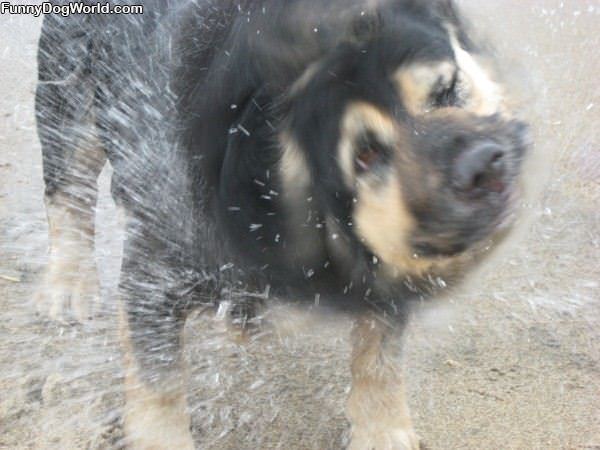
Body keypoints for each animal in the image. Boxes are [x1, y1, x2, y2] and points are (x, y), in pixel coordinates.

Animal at [34, 1, 528, 448]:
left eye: (448, 89)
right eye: (365, 155)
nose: (480, 165)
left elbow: (379, 357)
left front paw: (382, 433)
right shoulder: (153, 277)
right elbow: (160, 387)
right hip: (68, 97)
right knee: (68, 191)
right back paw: (70, 286)